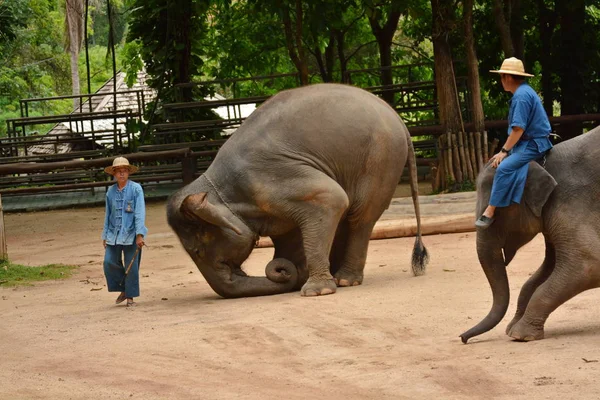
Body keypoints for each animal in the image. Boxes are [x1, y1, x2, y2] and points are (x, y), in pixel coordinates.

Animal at [166, 83, 428, 298]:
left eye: (198, 251)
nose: (281, 272)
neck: (216, 185)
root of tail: (399, 119)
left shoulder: (271, 177)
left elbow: (331, 199)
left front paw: (315, 291)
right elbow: (289, 233)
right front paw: (296, 275)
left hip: (381, 159)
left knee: (360, 217)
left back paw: (345, 280)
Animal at [460, 126, 600, 342]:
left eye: (495, 211)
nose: (462, 338)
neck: (541, 163)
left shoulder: (573, 202)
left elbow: (587, 265)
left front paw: (520, 335)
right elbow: (543, 272)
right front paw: (512, 329)